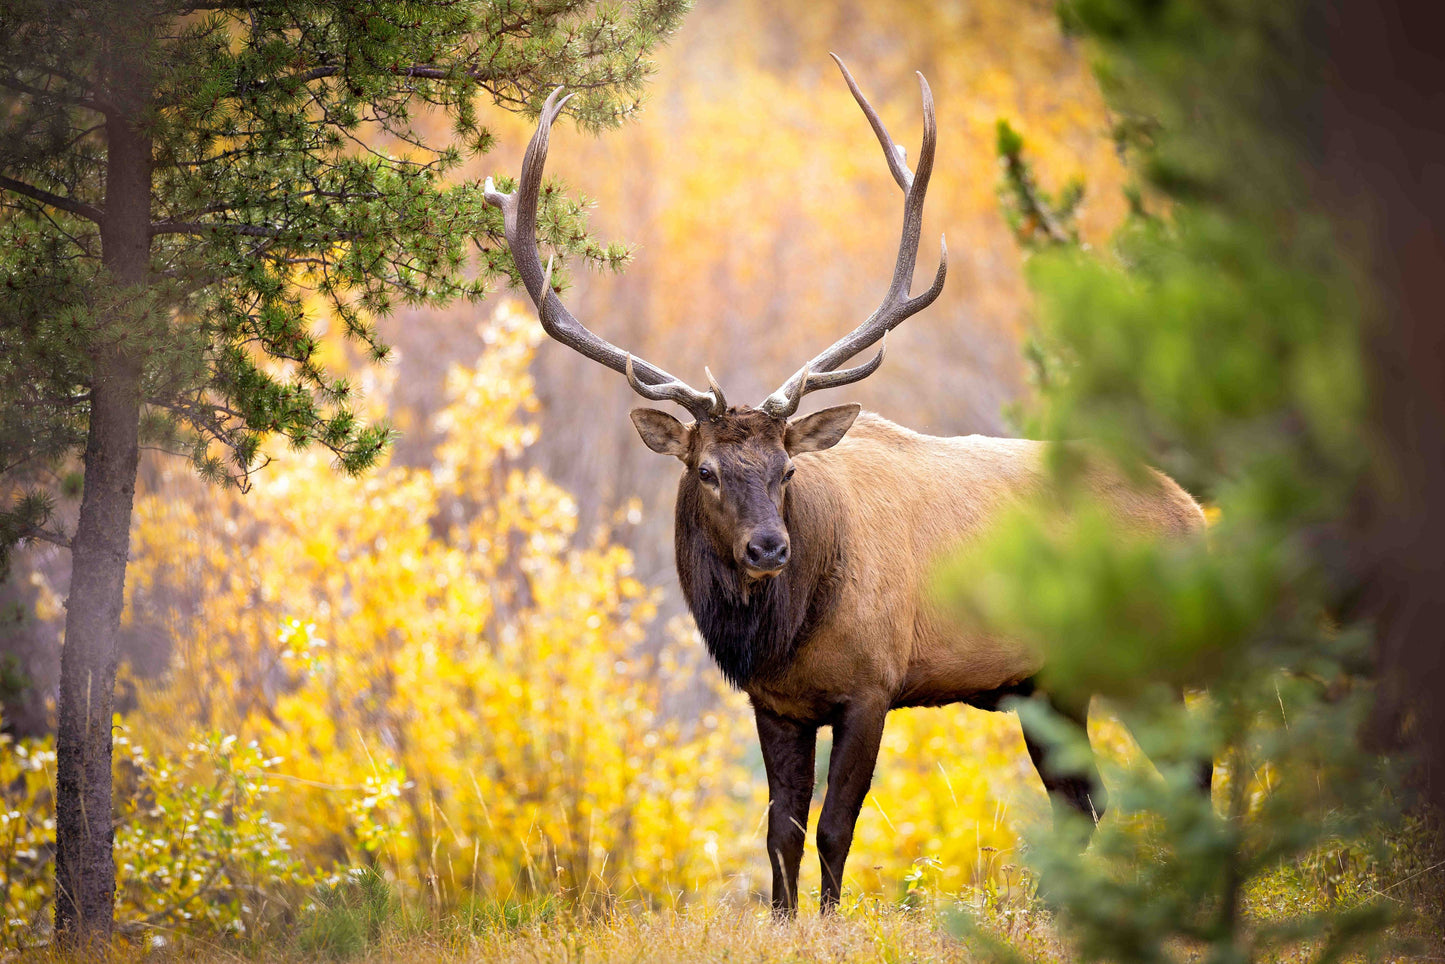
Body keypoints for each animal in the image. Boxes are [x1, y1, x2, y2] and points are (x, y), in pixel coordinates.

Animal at [485, 56, 1208, 919]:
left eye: (787, 469)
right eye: (706, 470)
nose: (769, 547)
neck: (783, 631)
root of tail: (1194, 514)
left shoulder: (872, 685)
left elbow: (835, 829)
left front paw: (830, 924)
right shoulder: (774, 703)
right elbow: (779, 832)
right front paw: (784, 920)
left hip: (1149, 662)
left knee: (1186, 777)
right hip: (1050, 686)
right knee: (1086, 804)